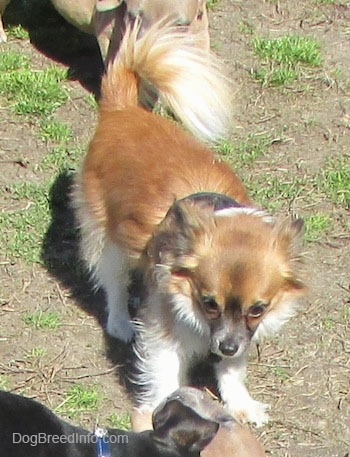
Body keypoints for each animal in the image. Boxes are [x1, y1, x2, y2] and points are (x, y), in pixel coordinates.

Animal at [72, 21, 304, 428]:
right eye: (208, 302)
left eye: (258, 309)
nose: (226, 345)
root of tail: (122, 110)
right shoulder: (164, 333)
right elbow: (164, 373)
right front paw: (163, 409)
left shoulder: (241, 336)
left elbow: (231, 372)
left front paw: (240, 403)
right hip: (107, 237)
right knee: (113, 281)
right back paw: (120, 322)